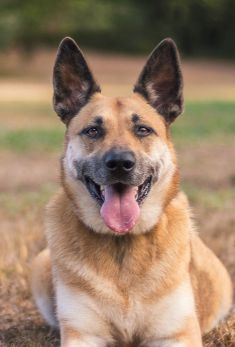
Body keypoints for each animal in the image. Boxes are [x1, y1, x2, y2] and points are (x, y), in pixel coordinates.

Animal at [30, 36, 232, 346]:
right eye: (92, 131)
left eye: (143, 129)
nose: (119, 164)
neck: (121, 245)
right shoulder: (82, 334)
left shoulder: (177, 334)